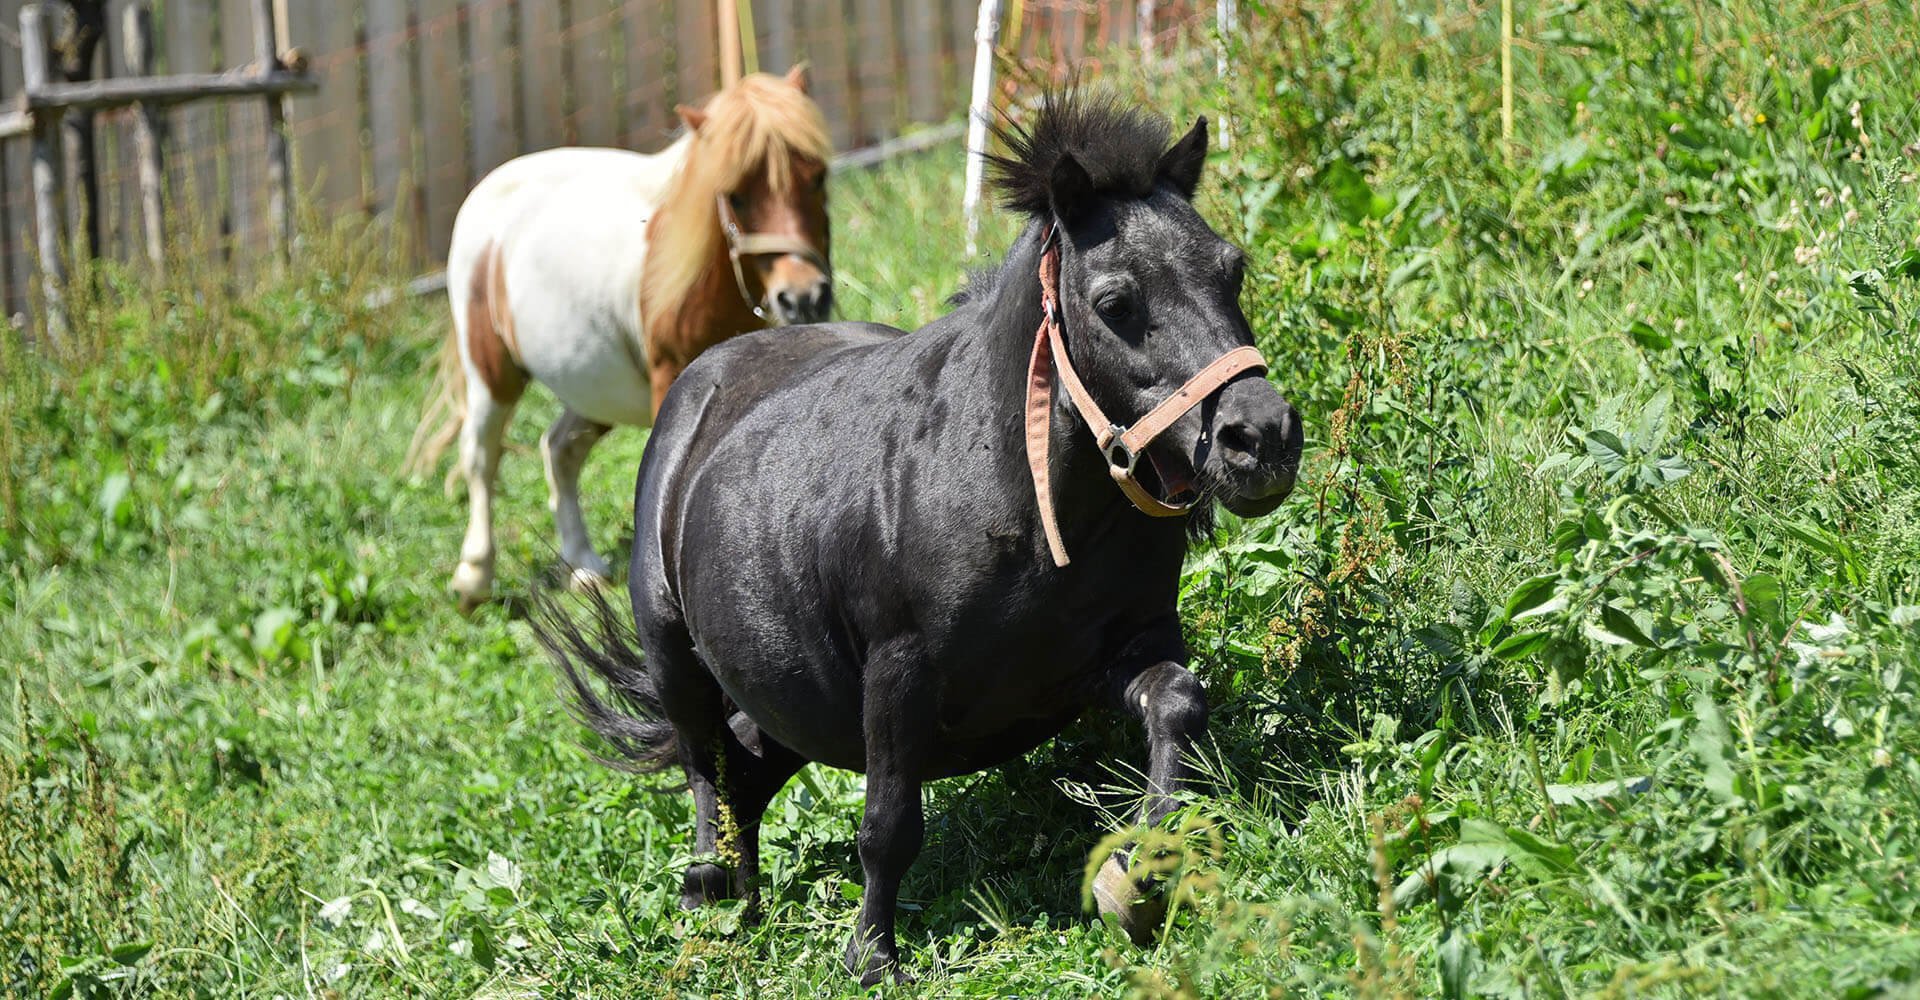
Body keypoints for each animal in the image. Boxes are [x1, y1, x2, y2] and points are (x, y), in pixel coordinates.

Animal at [412, 68, 833, 606]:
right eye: (736, 194)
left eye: (817, 176)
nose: (803, 297)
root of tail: (488, 191)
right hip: (492, 372)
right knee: (481, 457)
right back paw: (474, 577)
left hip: (592, 389)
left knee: (559, 448)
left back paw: (583, 565)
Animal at [549, 89, 1313, 978]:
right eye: (1116, 303)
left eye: (1232, 270)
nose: (1259, 437)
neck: (1018, 500)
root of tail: (700, 382)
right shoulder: (898, 675)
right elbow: (888, 825)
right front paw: (871, 957)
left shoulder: (1110, 654)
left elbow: (1179, 709)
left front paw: (1139, 879)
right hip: (677, 651)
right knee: (705, 758)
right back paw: (712, 894)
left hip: (797, 693)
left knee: (742, 763)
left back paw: (742, 891)